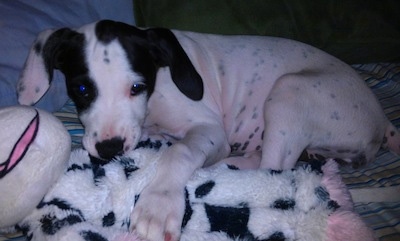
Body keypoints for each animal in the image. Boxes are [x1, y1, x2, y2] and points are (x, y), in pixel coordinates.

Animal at [16, 19, 400, 240]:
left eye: (137, 87)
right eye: (81, 89)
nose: (110, 149)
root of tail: (383, 121)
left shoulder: (210, 129)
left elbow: (180, 150)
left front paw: (158, 204)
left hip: (290, 90)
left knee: (273, 168)